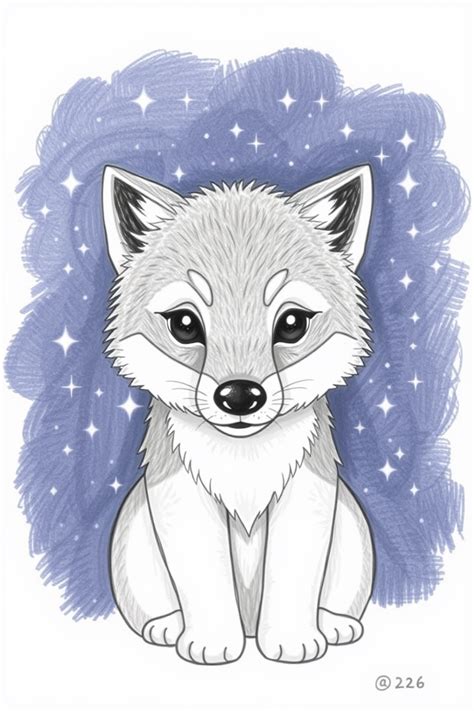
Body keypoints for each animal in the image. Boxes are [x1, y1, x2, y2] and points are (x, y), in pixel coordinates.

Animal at [103, 162, 375, 665]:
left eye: (292, 323)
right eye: (184, 324)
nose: (240, 396)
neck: (243, 459)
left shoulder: (307, 491)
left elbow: (293, 577)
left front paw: (292, 641)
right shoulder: (181, 495)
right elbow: (205, 581)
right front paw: (211, 643)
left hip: (350, 526)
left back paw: (332, 623)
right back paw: (169, 626)